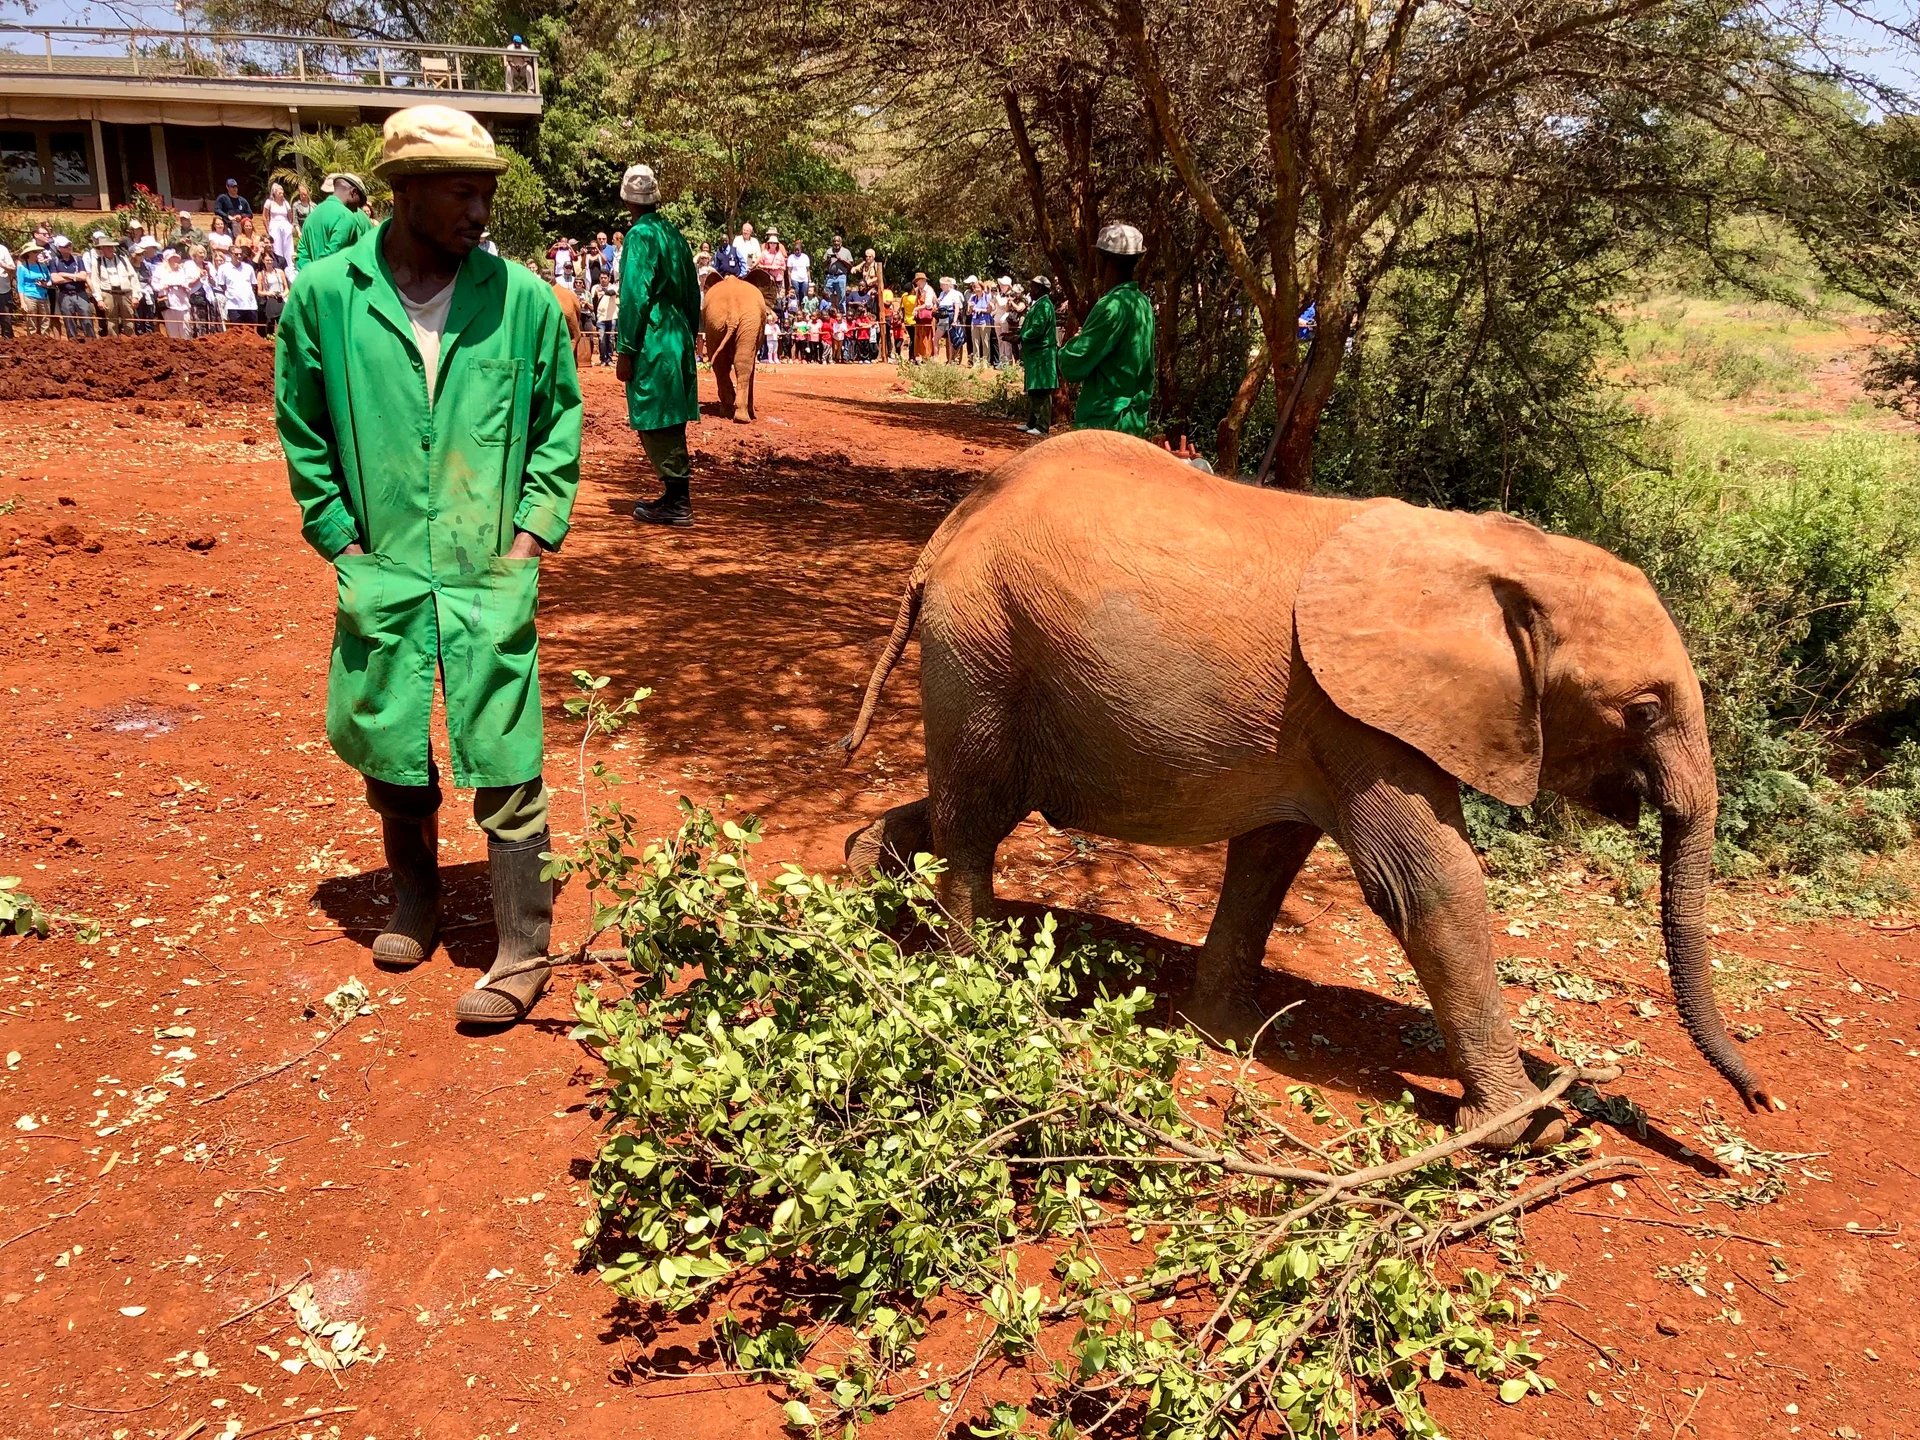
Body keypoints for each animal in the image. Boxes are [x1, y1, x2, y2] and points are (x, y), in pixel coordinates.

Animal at [701, 274, 765, 423]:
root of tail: (733, 313)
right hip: (746, 323)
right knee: (741, 364)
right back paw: (740, 415)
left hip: (715, 323)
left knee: (722, 365)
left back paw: (733, 413)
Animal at [840, 429, 1779, 1148]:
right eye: (1643, 711)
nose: (1763, 1099)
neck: (1496, 554)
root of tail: (948, 531)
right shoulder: (1355, 715)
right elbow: (1431, 885)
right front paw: (1532, 1131)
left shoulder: (1321, 727)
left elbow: (1272, 855)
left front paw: (1221, 1033)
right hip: (984, 645)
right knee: (976, 819)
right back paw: (972, 984)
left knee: (976, 806)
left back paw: (870, 884)